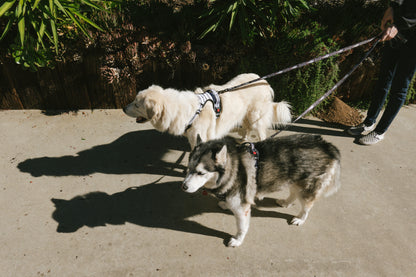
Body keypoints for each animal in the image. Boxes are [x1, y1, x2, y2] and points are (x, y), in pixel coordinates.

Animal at [123, 72, 292, 148]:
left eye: (137, 104)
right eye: (134, 101)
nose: (124, 108)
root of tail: (264, 81)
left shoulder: (199, 138)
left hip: (256, 116)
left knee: (261, 133)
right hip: (245, 115)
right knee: (246, 128)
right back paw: (242, 138)